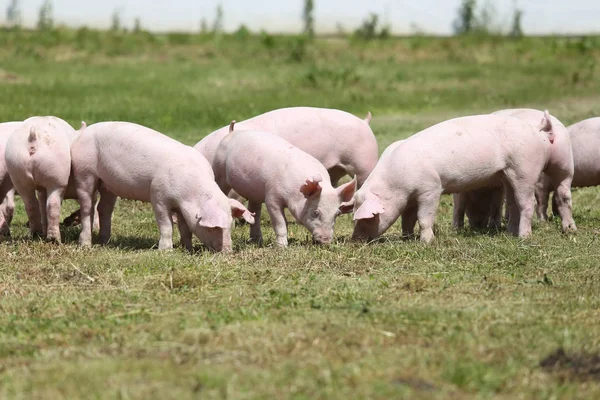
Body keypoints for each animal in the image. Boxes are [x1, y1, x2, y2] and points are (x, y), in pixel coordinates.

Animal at [70, 122, 253, 253]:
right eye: (214, 228)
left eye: (230, 225)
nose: (228, 251)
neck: (189, 193)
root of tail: (82, 134)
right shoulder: (158, 196)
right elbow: (166, 225)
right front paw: (166, 251)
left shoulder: (182, 207)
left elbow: (185, 228)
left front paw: (188, 249)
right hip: (85, 172)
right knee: (87, 207)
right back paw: (86, 245)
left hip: (108, 184)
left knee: (104, 209)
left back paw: (106, 242)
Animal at [211, 122, 356, 247]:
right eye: (315, 213)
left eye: (337, 214)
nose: (326, 240)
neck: (294, 192)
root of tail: (232, 132)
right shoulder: (272, 198)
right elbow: (281, 223)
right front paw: (282, 247)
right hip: (219, 170)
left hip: (254, 192)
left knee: (255, 212)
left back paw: (257, 241)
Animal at [352, 114, 552, 242]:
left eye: (369, 217)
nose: (355, 240)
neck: (395, 183)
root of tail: (535, 129)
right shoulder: (409, 198)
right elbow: (407, 218)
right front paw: (406, 238)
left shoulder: (430, 188)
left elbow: (423, 217)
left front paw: (426, 242)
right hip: (507, 174)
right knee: (512, 203)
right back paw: (510, 234)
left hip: (525, 169)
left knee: (527, 203)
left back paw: (523, 237)